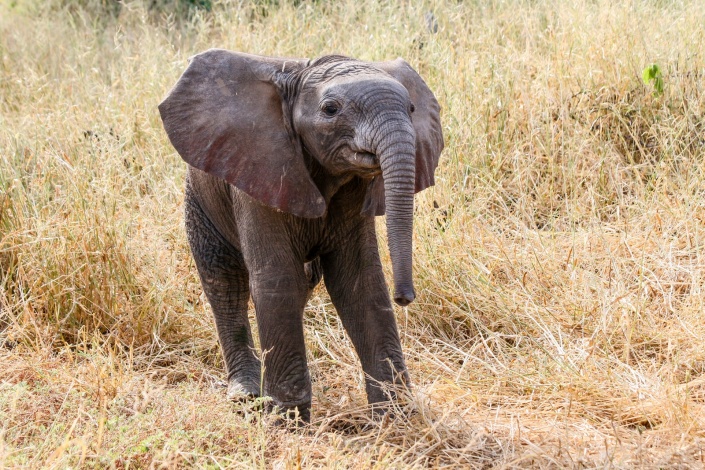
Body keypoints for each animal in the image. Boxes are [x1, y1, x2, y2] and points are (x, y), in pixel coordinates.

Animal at [158, 49, 443, 422]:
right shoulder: (261, 170)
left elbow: (360, 283)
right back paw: (246, 394)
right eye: (331, 109)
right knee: (223, 281)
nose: (405, 298)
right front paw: (287, 420)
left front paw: (395, 418)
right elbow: (279, 280)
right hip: (201, 197)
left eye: (411, 108)